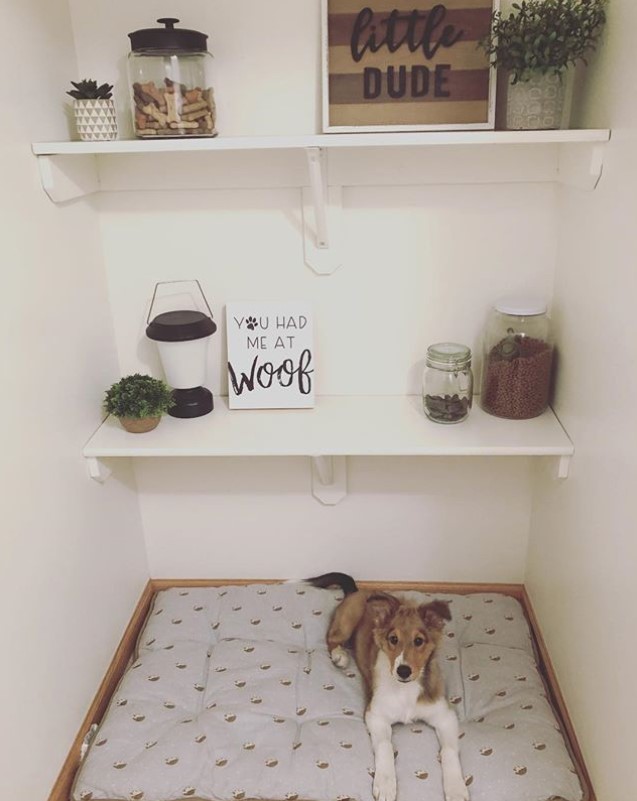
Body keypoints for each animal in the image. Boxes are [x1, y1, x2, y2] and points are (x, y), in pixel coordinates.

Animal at [314, 572, 468, 800]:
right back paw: (340, 655)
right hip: (346, 621)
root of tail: (359, 590)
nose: (403, 671)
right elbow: (386, 746)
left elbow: (448, 750)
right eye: (393, 639)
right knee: (331, 638)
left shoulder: (445, 716)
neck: (405, 690)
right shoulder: (376, 715)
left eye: (419, 641)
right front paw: (386, 783)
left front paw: (456, 788)